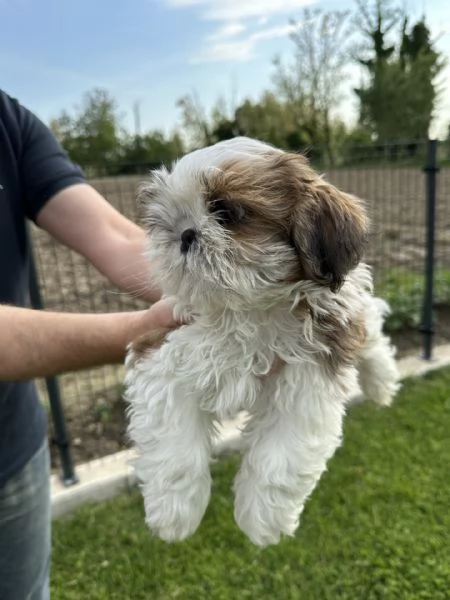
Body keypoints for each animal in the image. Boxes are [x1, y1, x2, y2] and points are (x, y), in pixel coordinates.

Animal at [124, 137, 400, 548]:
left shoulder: (311, 373)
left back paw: (381, 383)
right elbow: (173, 444)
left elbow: (280, 459)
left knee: (373, 334)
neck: (249, 310)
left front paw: (262, 521)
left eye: (228, 213)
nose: (184, 233)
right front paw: (174, 516)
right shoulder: (163, 351)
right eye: (165, 219)